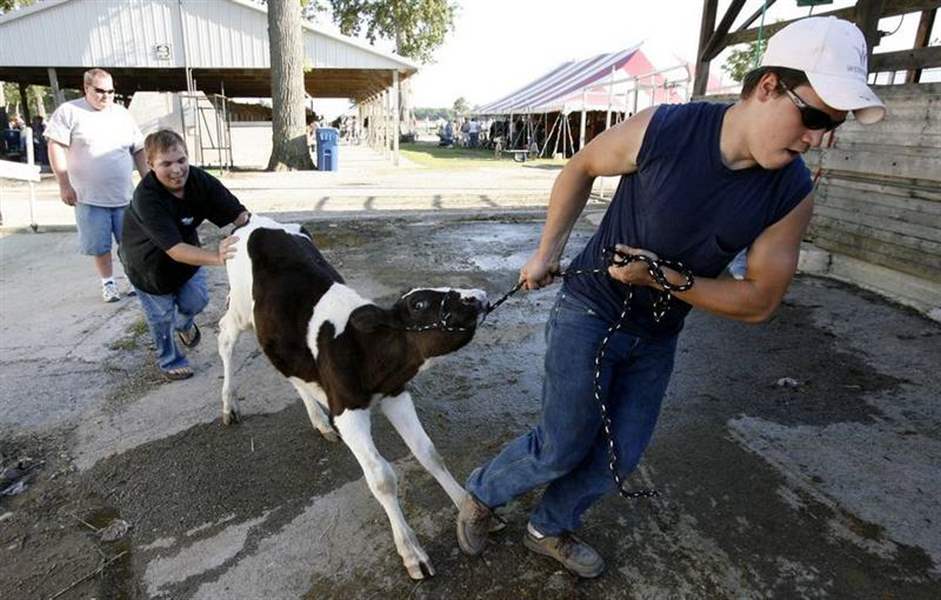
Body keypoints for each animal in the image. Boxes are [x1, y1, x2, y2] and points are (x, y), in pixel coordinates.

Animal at [217, 214, 488, 576]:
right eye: (418, 304)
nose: (478, 296)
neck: (363, 347)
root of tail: (252, 218)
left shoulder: (395, 394)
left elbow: (429, 453)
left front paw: (468, 509)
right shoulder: (348, 413)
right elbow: (382, 478)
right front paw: (411, 551)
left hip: (277, 335)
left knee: (290, 372)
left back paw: (319, 420)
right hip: (241, 311)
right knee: (225, 337)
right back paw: (229, 405)